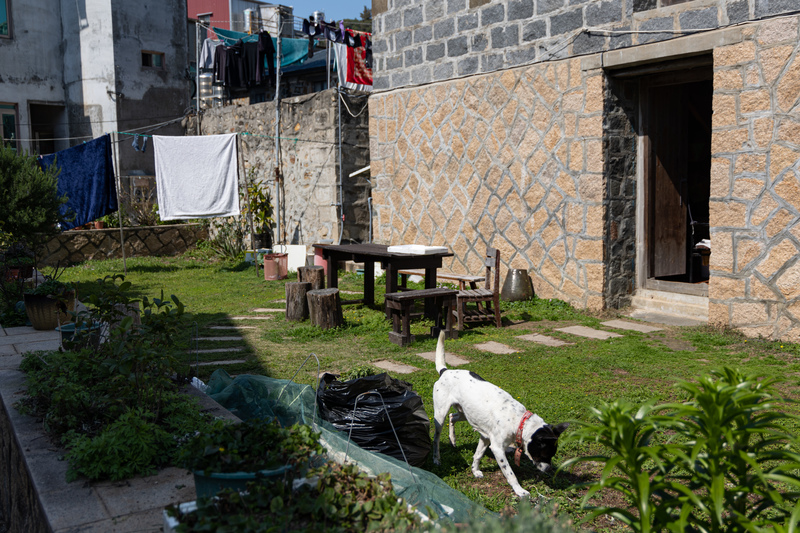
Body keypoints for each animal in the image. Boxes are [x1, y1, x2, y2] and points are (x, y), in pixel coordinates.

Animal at [432, 330, 568, 496]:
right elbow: (510, 473)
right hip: (440, 414)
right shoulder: (496, 448)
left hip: (466, 413)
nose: (549, 470)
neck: (518, 421)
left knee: (453, 417)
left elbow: (477, 455)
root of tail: (445, 371)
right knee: (437, 438)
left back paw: (453, 439)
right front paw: (519, 491)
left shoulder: (485, 437)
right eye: (544, 454)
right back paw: (436, 459)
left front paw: (475, 471)